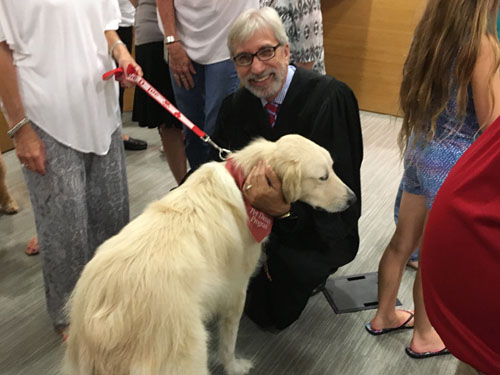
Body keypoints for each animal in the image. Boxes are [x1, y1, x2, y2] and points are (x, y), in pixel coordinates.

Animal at [63, 135, 356, 375]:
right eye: (322, 177)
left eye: (333, 169)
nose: (353, 199)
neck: (244, 186)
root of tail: (106, 315)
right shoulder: (236, 293)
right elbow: (228, 343)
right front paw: (234, 367)